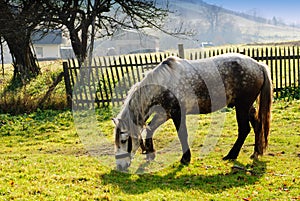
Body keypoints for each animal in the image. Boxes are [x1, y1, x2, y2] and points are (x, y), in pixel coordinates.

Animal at [112, 52, 272, 170]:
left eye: (124, 140)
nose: (120, 166)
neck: (163, 84)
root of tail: (258, 65)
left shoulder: (177, 114)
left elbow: (183, 134)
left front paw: (185, 158)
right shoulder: (165, 113)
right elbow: (150, 129)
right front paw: (150, 154)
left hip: (242, 107)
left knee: (244, 129)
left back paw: (231, 155)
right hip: (247, 107)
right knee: (257, 125)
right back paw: (256, 152)